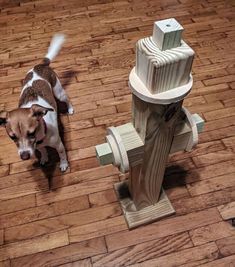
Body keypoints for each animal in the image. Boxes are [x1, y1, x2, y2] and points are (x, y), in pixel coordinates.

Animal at [0, 34, 73, 172]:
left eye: (31, 133)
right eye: (12, 137)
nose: (24, 156)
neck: (40, 138)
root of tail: (41, 65)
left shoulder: (59, 145)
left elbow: (62, 155)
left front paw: (63, 165)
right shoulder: (38, 147)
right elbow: (43, 151)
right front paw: (44, 158)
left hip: (59, 92)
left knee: (67, 99)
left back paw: (70, 109)